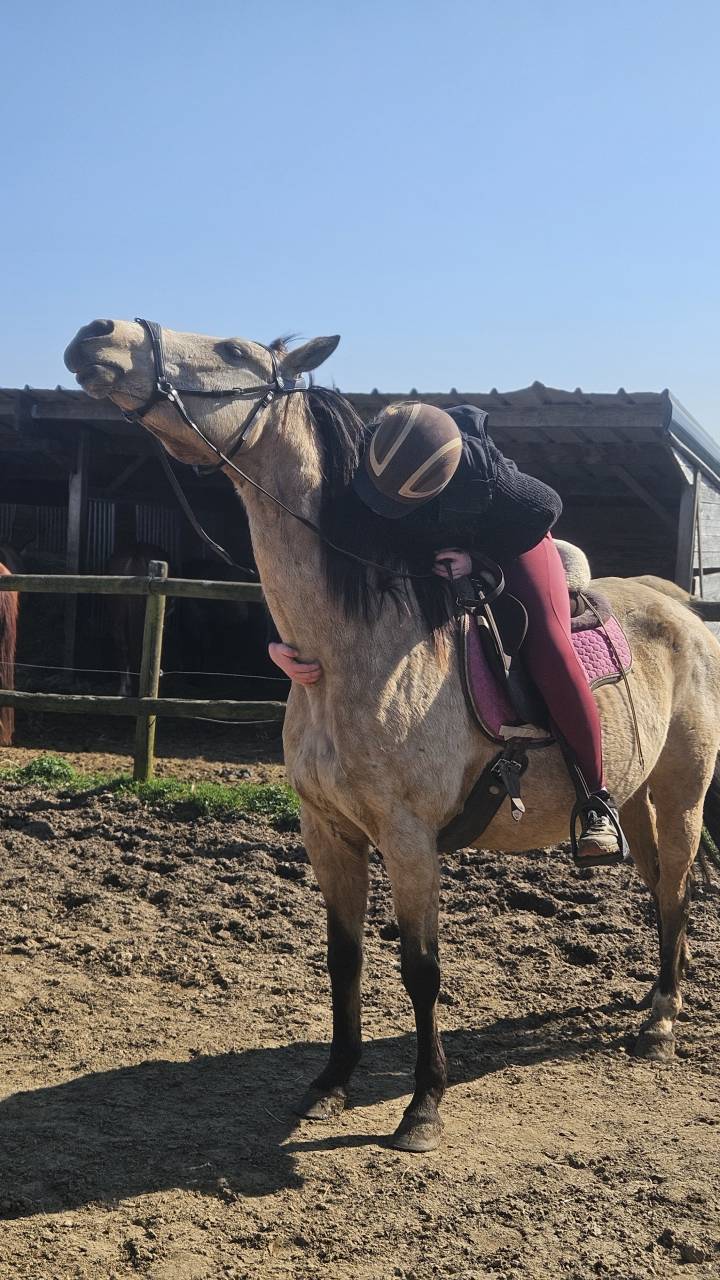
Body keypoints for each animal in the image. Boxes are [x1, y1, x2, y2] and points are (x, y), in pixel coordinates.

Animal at [65, 318, 720, 1153]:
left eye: (237, 351)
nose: (98, 334)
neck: (355, 650)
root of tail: (678, 605)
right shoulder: (327, 831)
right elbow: (344, 958)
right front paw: (330, 1083)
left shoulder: (409, 839)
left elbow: (421, 969)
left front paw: (422, 1107)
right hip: (634, 797)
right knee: (663, 887)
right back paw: (657, 993)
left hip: (682, 794)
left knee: (674, 886)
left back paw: (662, 1020)